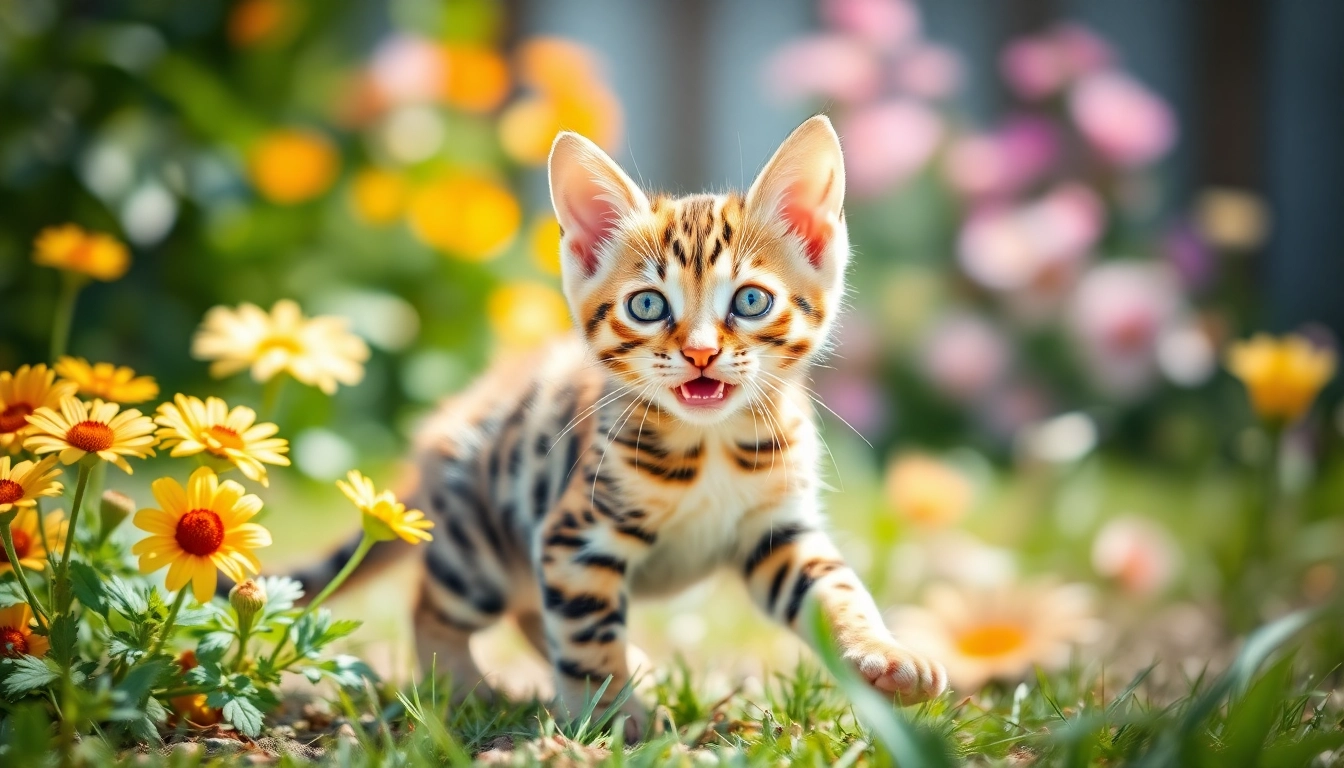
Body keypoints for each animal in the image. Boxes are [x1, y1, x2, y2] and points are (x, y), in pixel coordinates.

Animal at [303, 115, 946, 731]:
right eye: (647, 305)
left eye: (751, 301)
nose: (700, 353)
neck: (712, 444)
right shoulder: (575, 536)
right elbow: (586, 634)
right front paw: (614, 716)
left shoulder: (778, 531)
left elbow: (837, 589)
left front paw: (884, 654)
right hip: (477, 555)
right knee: (435, 607)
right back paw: (461, 690)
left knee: (529, 609)